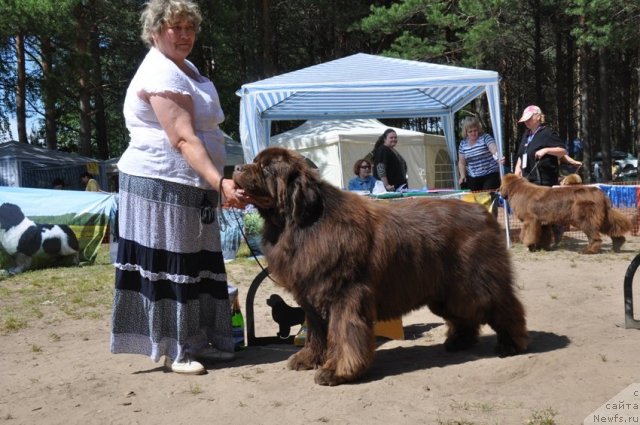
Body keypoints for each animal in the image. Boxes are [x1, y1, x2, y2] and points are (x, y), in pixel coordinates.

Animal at [232, 147, 528, 386]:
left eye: (266, 168)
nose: (235, 168)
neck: (303, 223)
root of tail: (482, 212)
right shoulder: (311, 297)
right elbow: (317, 332)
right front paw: (308, 358)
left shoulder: (344, 295)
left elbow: (343, 334)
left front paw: (336, 371)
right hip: (447, 292)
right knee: (465, 315)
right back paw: (459, 342)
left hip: (475, 283)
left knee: (504, 307)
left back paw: (511, 344)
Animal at [500, 172, 632, 252]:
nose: (498, 191)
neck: (517, 188)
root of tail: (599, 193)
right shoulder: (542, 222)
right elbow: (543, 235)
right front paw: (542, 247)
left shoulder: (530, 220)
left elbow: (527, 234)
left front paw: (529, 246)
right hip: (602, 216)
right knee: (611, 227)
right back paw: (617, 244)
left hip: (584, 218)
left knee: (594, 235)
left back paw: (588, 250)